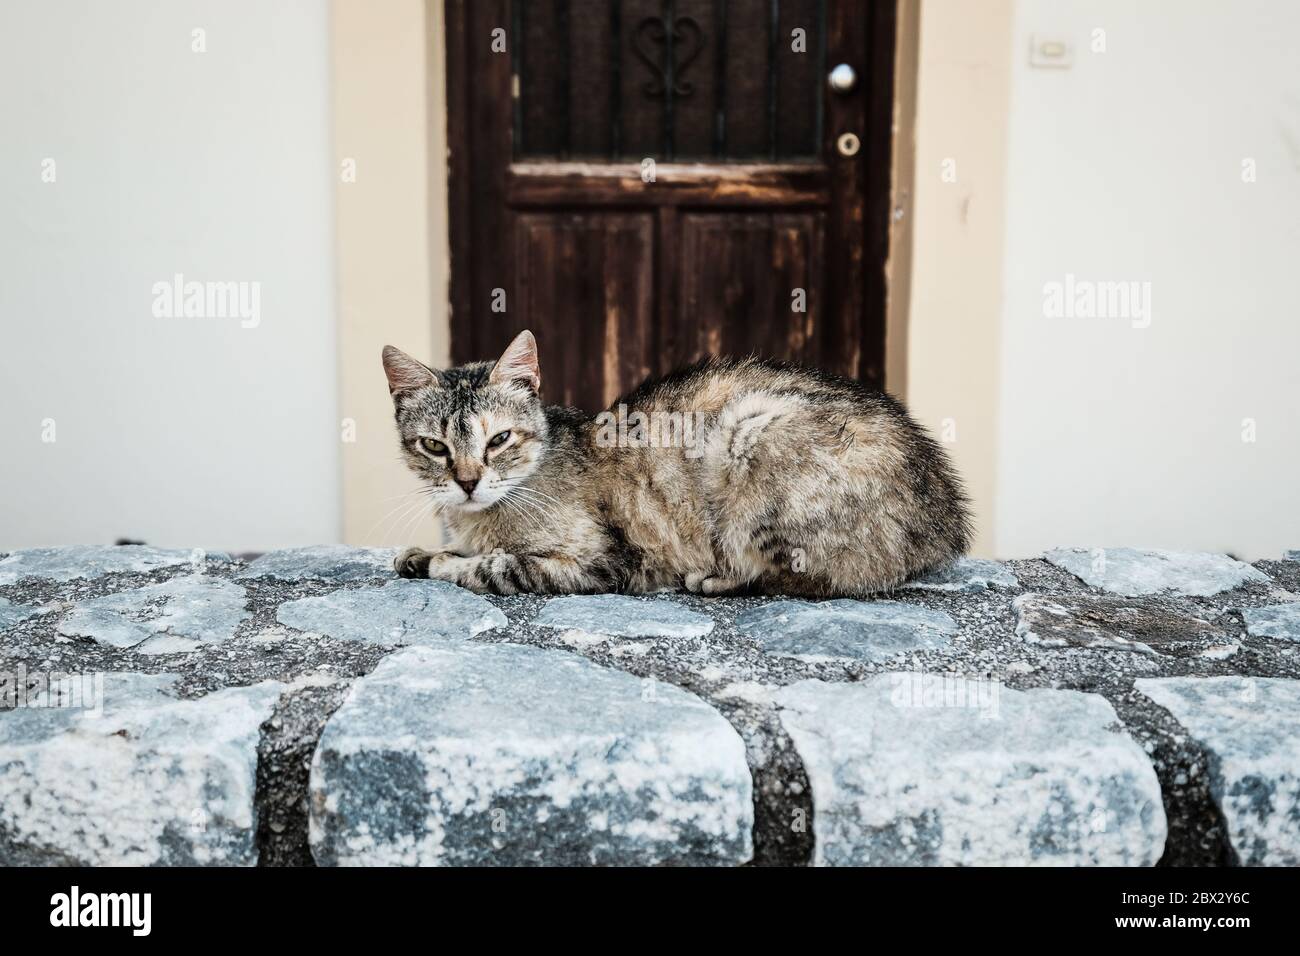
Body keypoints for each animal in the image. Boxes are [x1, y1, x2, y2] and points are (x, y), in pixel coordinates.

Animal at [379, 332, 972, 595]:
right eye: (435, 446)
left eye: (499, 439)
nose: (467, 482)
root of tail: (946, 513)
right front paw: (424, 551)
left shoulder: (606, 562)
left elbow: (491, 566)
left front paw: (439, 561)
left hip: (750, 431)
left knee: (815, 580)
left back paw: (716, 578)